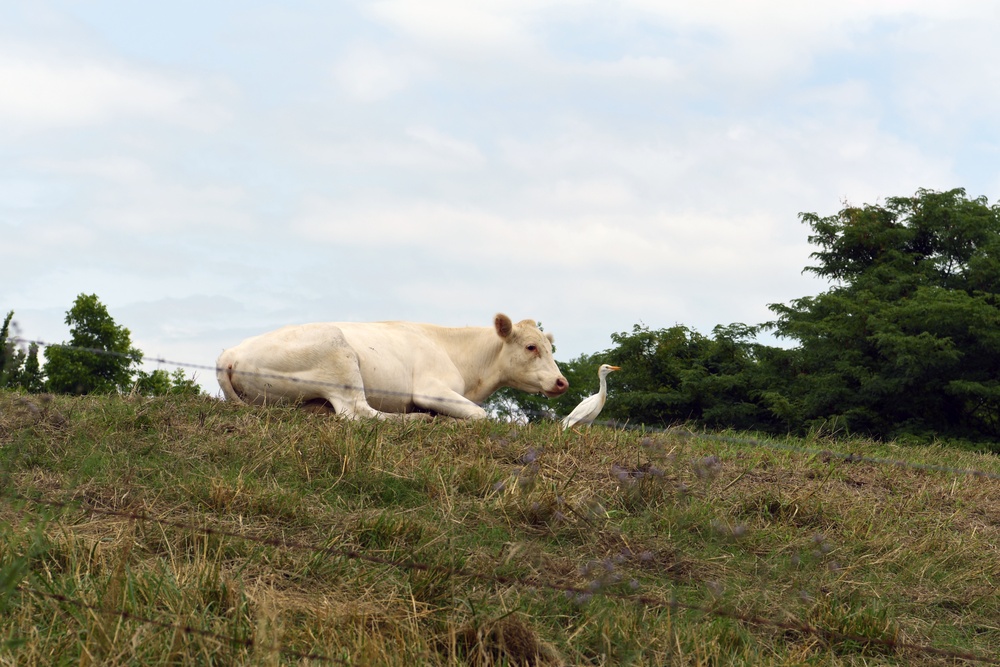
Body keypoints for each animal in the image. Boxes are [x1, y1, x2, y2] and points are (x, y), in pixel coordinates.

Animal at [215, 312, 568, 418]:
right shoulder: (430, 389)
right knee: (359, 413)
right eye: (531, 347)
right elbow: (482, 416)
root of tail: (229, 354)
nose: (562, 382)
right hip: (339, 357)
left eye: (551, 348)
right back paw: (417, 420)